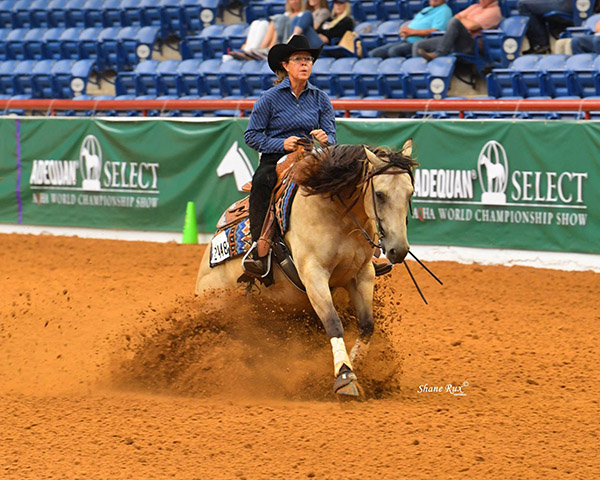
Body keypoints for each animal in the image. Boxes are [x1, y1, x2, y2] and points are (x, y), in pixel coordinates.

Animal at [196, 138, 418, 398]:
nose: (398, 250)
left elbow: (366, 325)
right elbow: (333, 323)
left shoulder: (362, 274)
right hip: (215, 305)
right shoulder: (314, 274)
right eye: (380, 194)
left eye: (410, 192)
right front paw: (345, 377)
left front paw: (357, 366)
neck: (337, 216)